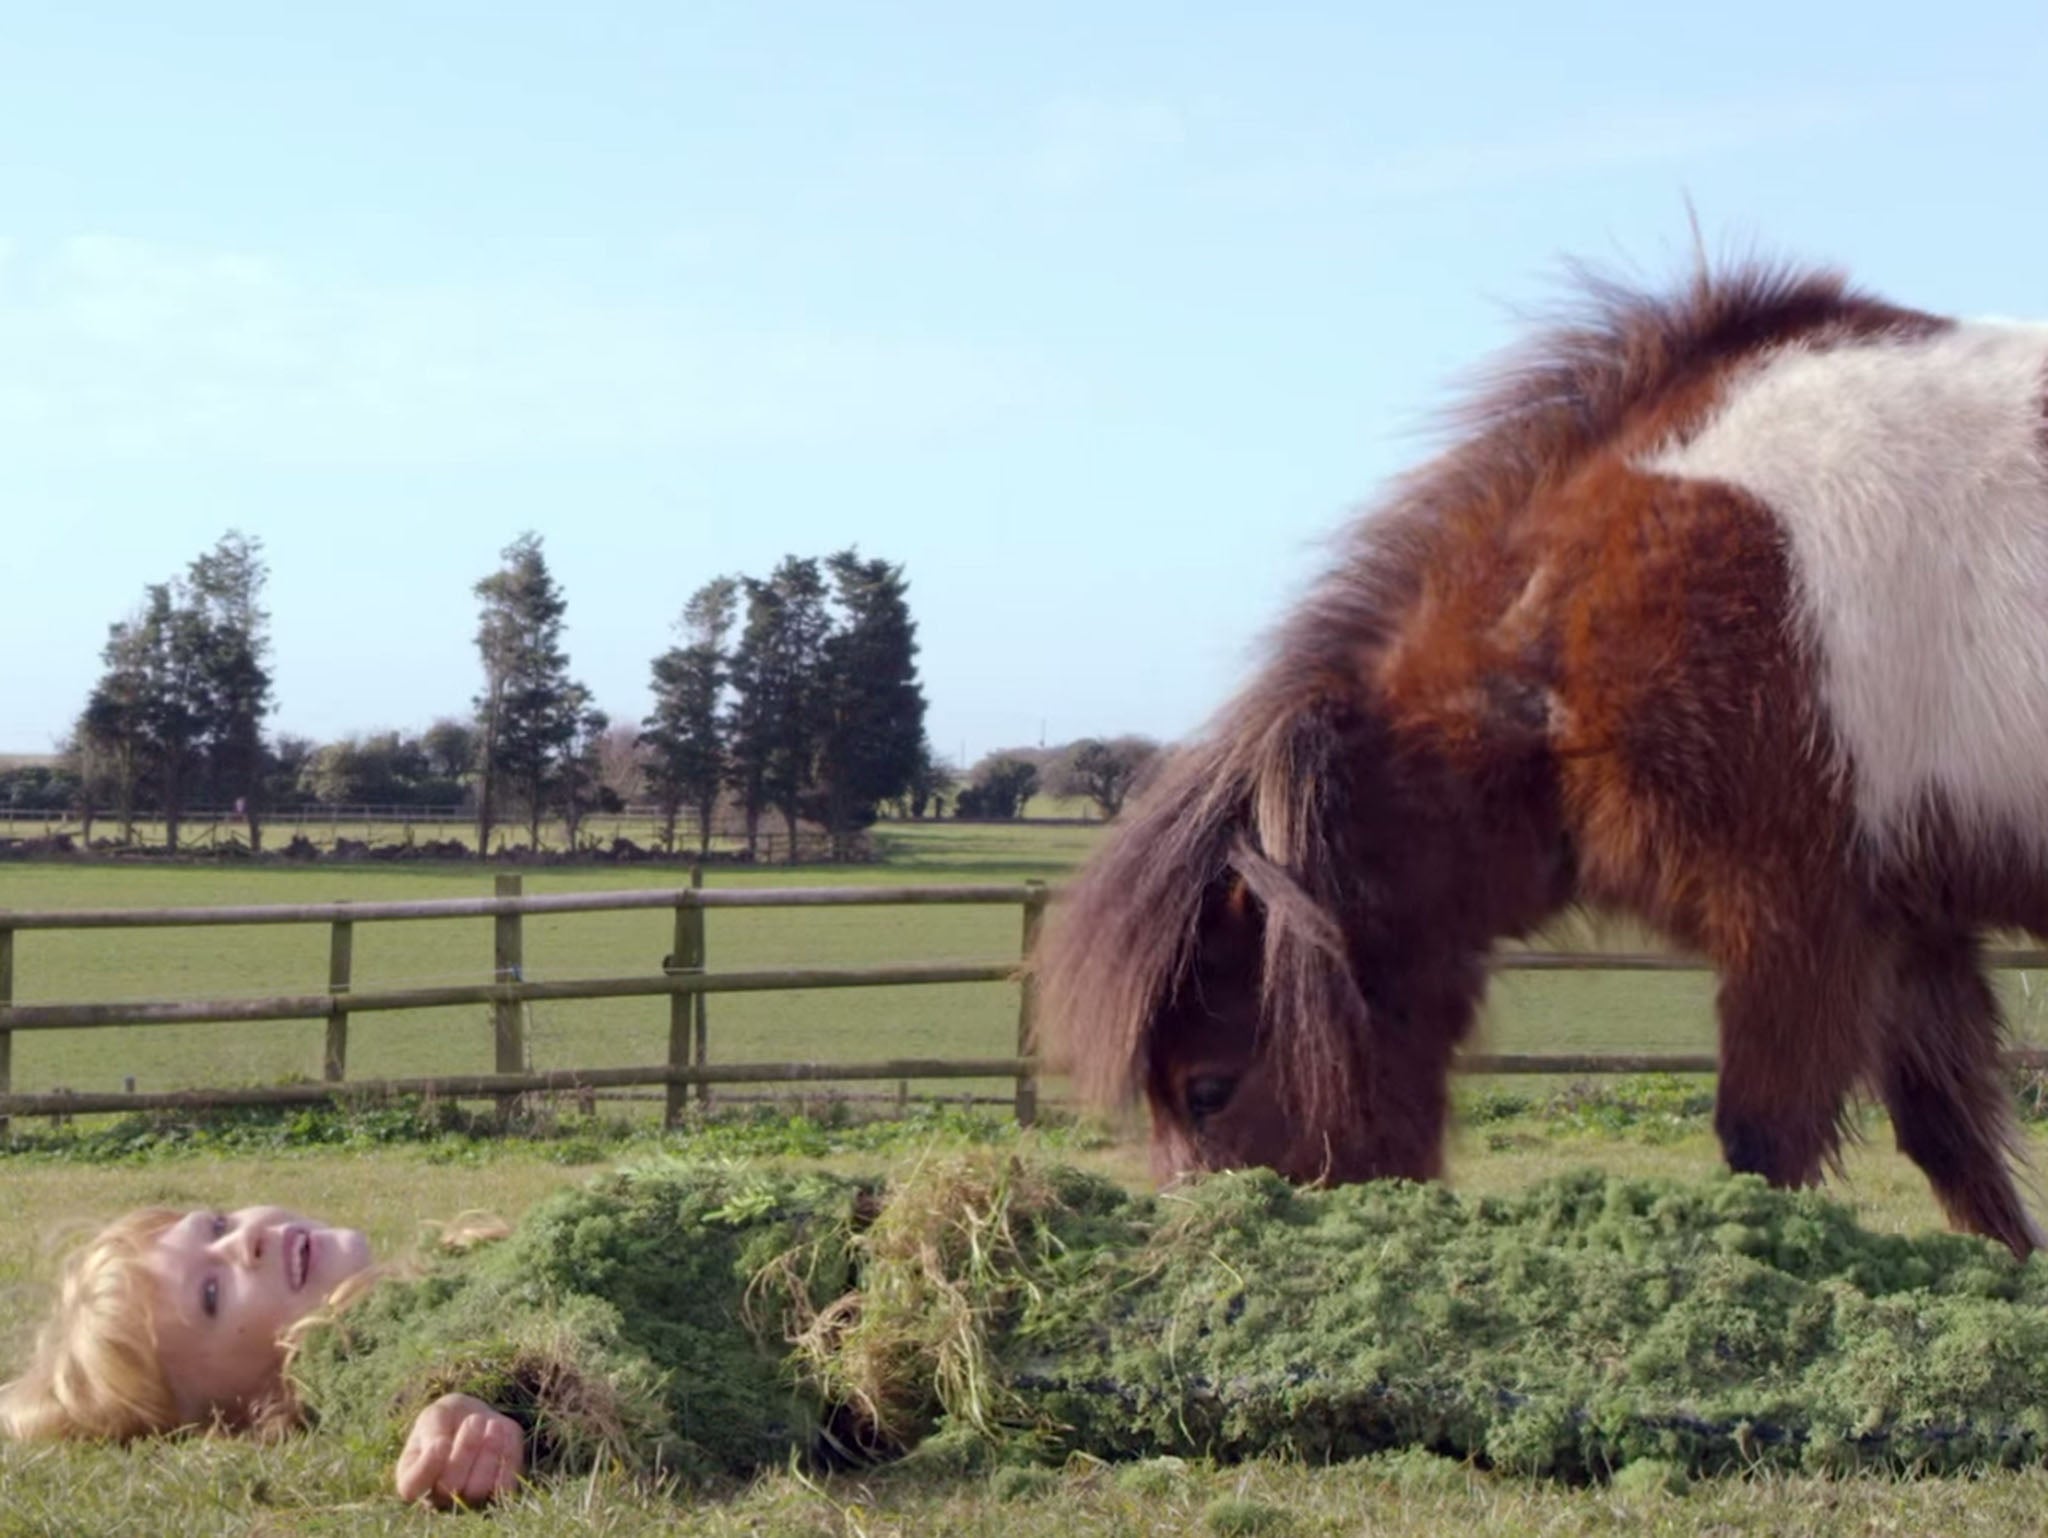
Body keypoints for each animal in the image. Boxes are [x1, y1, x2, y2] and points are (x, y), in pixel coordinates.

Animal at [1040, 255, 2048, 1261]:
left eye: (1207, 1089)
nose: (1209, 1247)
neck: (1588, 595)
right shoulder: (1907, 925)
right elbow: (1955, 1151)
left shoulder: (1790, 918)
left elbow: (1767, 1143)